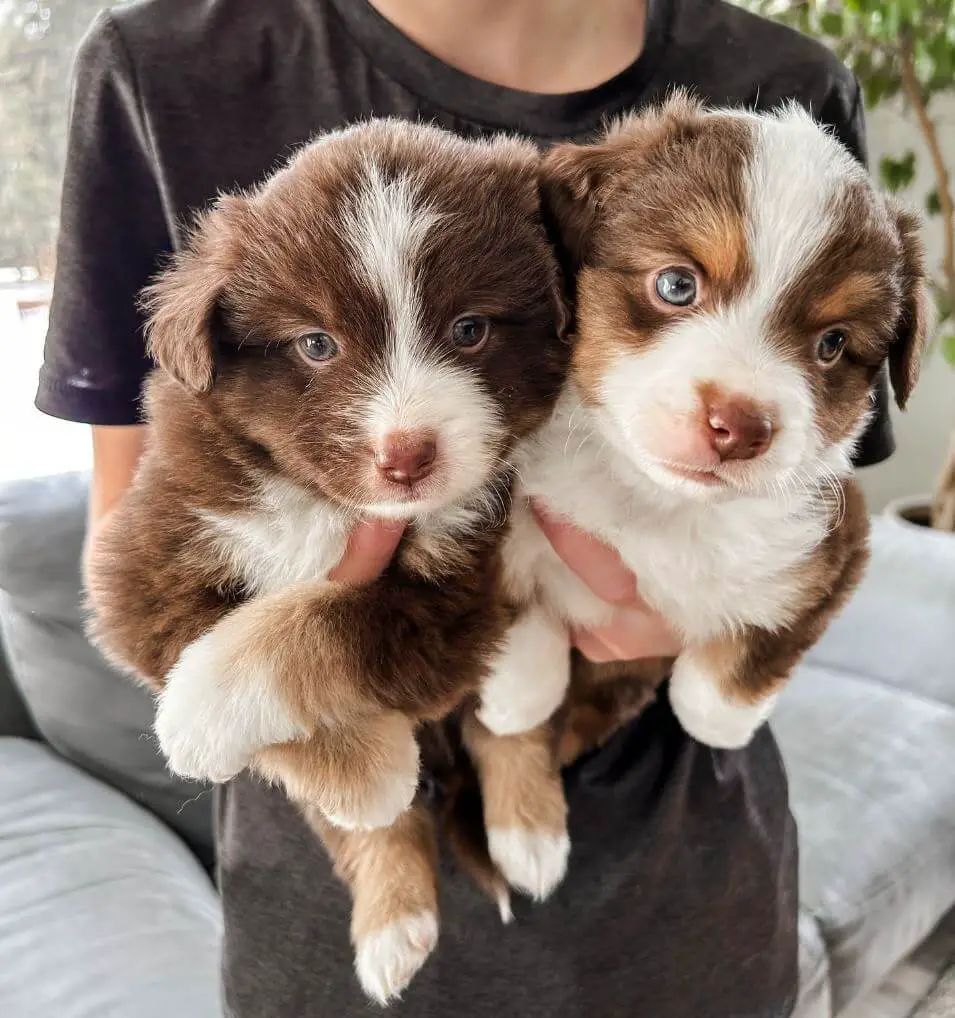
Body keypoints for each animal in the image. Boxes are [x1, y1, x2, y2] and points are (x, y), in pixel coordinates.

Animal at [83, 119, 566, 1001]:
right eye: (316, 344)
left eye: (470, 330)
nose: (407, 456)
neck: (326, 505)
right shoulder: (141, 570)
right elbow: (280, 711)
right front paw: (371, 776)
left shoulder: (447, 596)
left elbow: (311, 625)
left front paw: (202, 712)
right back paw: (394, 921)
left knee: (505, 721)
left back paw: (529, 831)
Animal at [472, 95, 928, 903]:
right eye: (677, 285)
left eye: (832, 345)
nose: (739, 425)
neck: (661, 503)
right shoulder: (492, 504)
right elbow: (521, 639)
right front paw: (517, 698)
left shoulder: (834, 549)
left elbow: (729, 671)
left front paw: (718, 722)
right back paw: (527, 837)